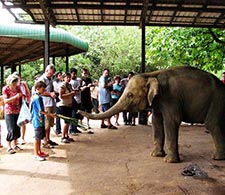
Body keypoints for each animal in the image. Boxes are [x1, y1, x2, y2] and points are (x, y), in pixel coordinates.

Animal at [78, 66, 225, 163]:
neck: (150, 75)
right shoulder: (159, 100)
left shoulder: (170, 98)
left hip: (217, 100)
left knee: (211, 124)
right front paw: (155, 155)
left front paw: (169, 161)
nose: (79, 111)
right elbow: (156, 121)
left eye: (130, 95)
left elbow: (171, 121)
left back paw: (217, 158)